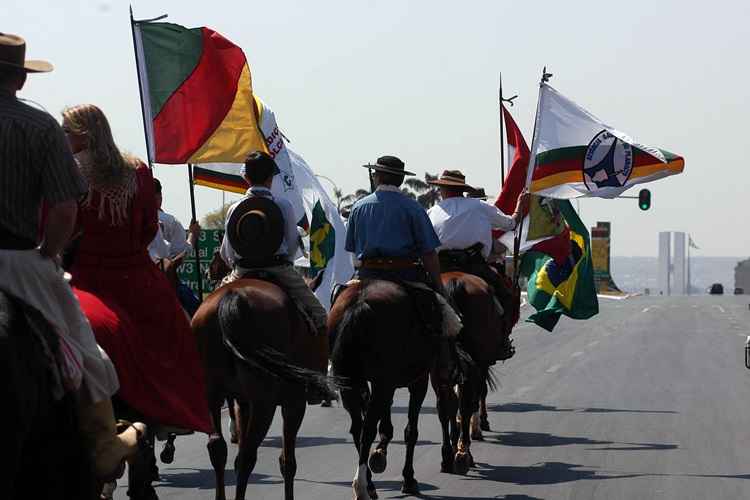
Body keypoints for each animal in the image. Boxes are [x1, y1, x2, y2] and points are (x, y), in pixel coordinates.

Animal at [194, 276, 334, 500]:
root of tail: (232, 297)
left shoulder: (243, 403)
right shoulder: (294, 404)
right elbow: (288, 462)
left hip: (211, 396)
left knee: (218, 449)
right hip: (265, 404)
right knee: (247, 458)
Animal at [328, 282, 452, 500]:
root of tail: (359, 304)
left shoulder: (382, 383)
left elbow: (386, 423)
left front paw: (379, 455)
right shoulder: (417, 381)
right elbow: (411, 431)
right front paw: (409, 478)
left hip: (352, 383)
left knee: (358, 428)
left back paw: (368, 484)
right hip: (385, 382)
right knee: (367, 429)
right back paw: (362, 487)